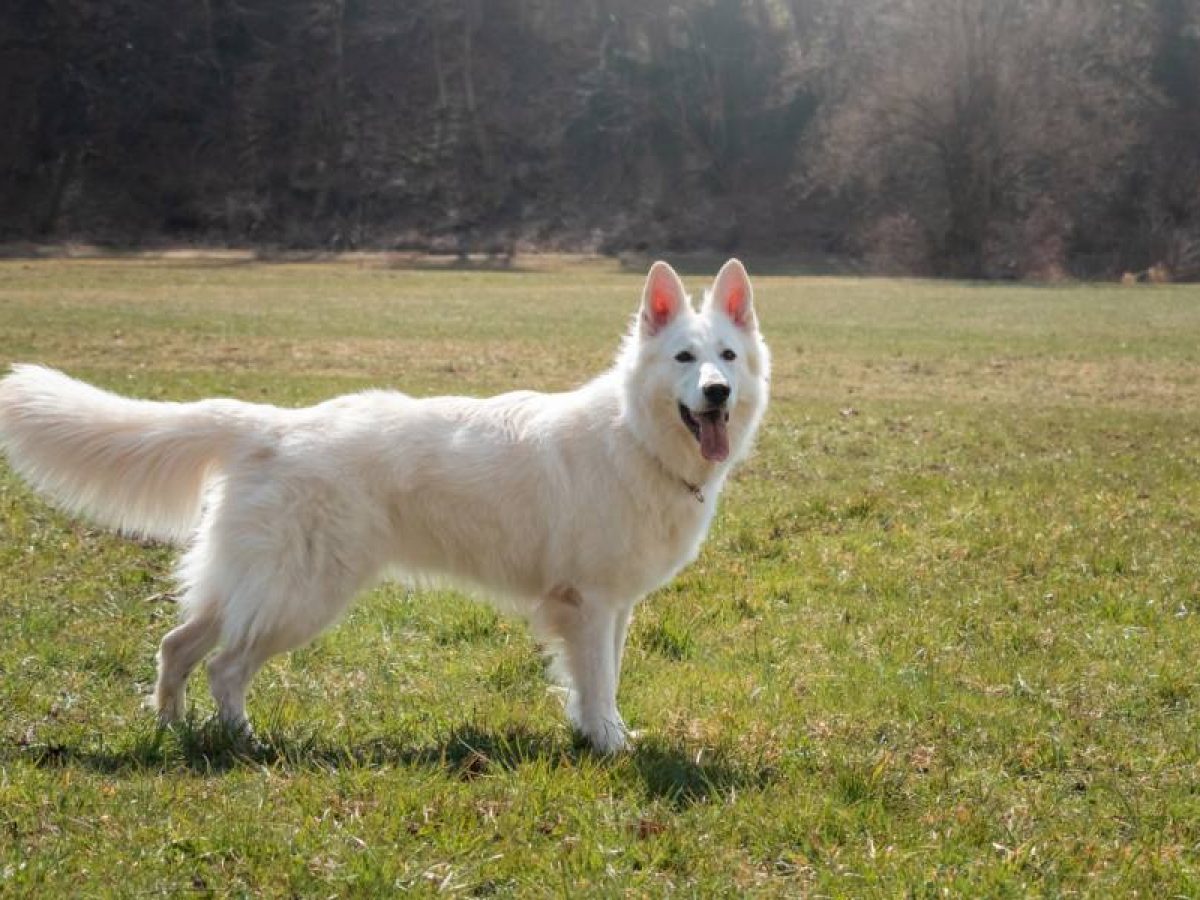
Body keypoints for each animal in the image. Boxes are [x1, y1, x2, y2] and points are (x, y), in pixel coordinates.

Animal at [0, 260, 768, 753]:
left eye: (727, 356)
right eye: (683, 358)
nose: (717, 392)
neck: (635, 435)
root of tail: (271, 426)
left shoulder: (611, 608)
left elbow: (596, 679)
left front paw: (595, 733)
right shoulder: (589, 604)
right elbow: (600, 683)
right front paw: (610, 745)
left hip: (249, 585)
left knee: (177, 646)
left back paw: (171, 729)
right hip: (302, 597)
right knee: (225, 666)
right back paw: (245, 743)